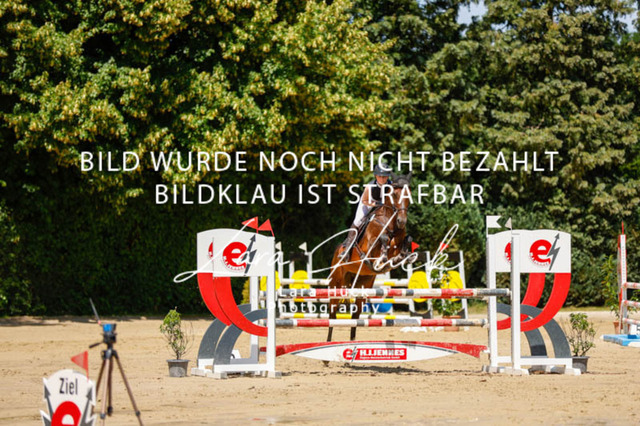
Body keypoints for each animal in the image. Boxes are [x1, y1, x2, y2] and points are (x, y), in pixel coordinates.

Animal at [326, 173, 415, 343]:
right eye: (394, 194)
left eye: (409, 195)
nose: (402, 222)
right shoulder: (370, 246)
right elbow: (384, 239)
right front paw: (384, 258)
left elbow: (406, 240)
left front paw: (401, 257)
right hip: (336, 284)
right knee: (332, 315)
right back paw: (328, 343)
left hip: (363, 284)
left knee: (355, 316)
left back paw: (353, 343)